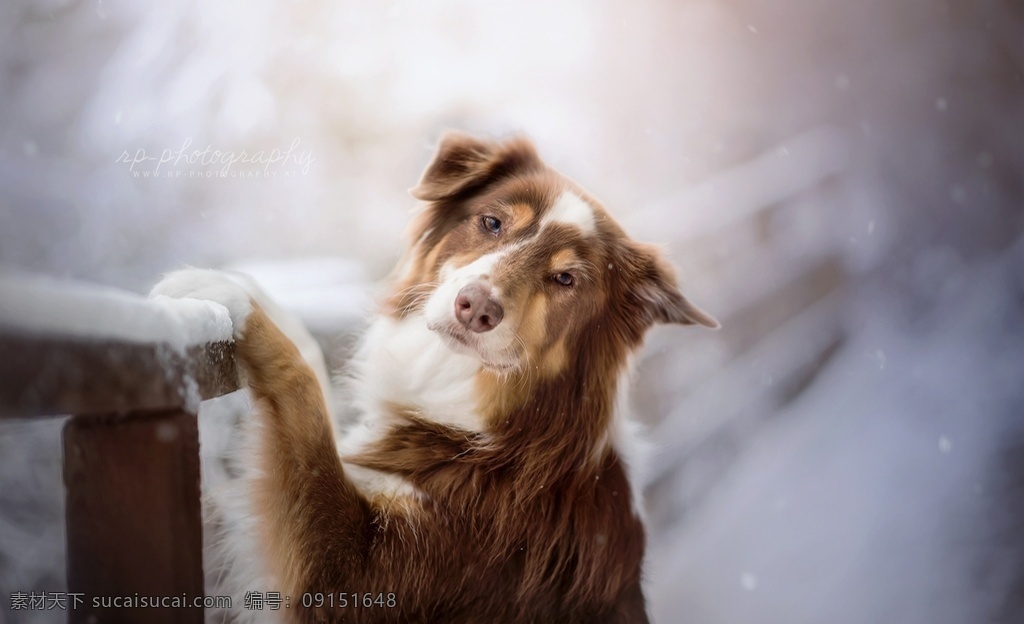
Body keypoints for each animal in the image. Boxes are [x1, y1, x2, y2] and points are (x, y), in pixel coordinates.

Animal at [155, 134, 724, 618]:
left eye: (565, 278)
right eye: (492, 223)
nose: (476, 308)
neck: (501, 438)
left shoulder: (348, 581)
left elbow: (306, 403)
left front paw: (227, 293)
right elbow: (312, 357)